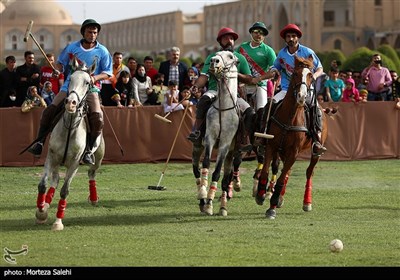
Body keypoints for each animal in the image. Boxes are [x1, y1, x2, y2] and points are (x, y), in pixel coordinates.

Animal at [35, 55, 105, 231]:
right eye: (70, 78)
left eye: (87, 82)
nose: (71, 103)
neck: (70, 128)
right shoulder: (51, 156)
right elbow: (43, 185)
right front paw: (41, 212)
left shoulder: (74, 163)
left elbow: (64, 191)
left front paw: (58, 222)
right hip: (57, 161)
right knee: (54, 180)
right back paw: (46, 204)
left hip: (98, 157)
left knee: (91, 173)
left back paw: (93, 197)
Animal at [196, 50, 239, 217]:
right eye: (216, 54)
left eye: (231, 57)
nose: (214, 61)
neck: (223, 108)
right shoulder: (210, 138)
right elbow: (206, 164)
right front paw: (203, 194)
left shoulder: (225, 144)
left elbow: (217, 173)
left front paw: (210, 204)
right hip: (197, 145)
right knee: (195, 168)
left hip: (231, 153)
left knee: (226, 178)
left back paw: (223, 207)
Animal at [253, 55, 328, 220]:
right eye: (295, 74)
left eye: (310, 75)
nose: (302, 96)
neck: (290, 118)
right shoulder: (272, 146)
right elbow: (266, 171)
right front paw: (261, 195)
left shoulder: (294, 151)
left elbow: (281, 179)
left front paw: (272, 208)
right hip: (283, 151)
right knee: (287, 171)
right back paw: (280, 198)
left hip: (315, 151)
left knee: (309, 172)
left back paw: (306, 202)